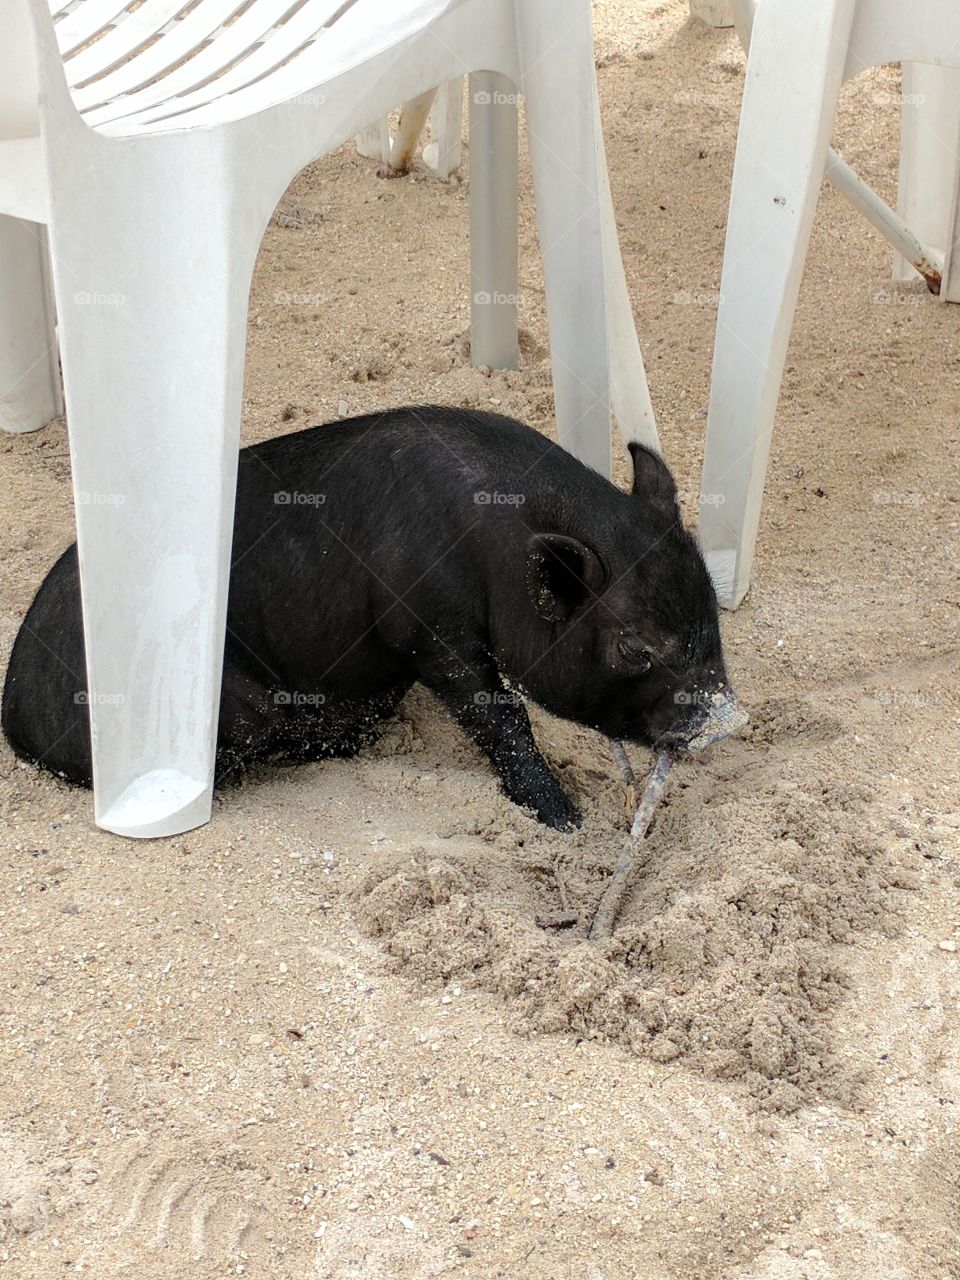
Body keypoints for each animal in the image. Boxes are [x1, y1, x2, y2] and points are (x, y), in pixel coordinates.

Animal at [0, 404, 742, 834]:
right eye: (635, 648)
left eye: (711, 611)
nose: (729, 718)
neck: (495, 551)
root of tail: (16, 714)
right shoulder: (428, 626)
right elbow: (499, 713)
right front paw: (565, 822)